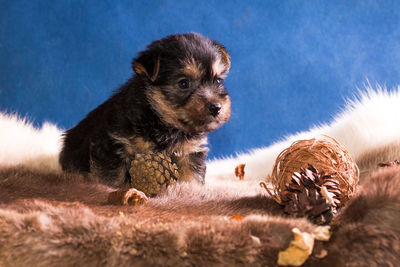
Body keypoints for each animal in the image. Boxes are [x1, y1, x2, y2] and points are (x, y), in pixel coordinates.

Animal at [59, 33, 231, 200]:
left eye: (217, 81)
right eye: (184, 83)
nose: (216, 107)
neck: (162, 121)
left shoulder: (191, 151)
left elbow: (192, 175)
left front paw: (190, 191)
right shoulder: (112, 144)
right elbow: (111, 177)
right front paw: (108, 189)